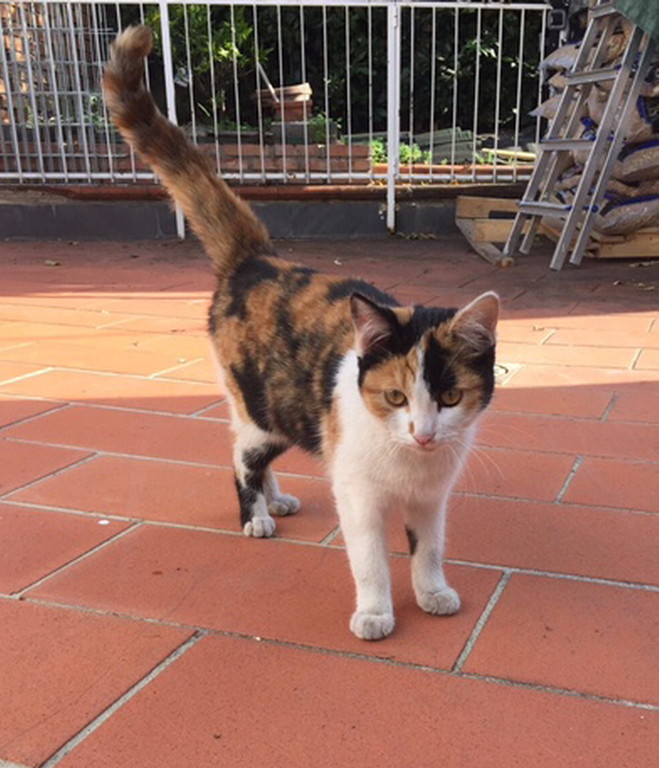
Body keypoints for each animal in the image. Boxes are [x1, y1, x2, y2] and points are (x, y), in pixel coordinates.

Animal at [104, 26, 499, 641]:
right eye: (395, 397)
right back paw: (256, 514)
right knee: (241, 452)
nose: (425, 434)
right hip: (262, 405)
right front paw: (375, 612)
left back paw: (276, 500)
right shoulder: (357, 494)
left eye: (452, 396)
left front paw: (432, 591)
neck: (407, 463)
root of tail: (257, 258)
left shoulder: (432, 498)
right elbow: (370, 559)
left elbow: (428, 547)